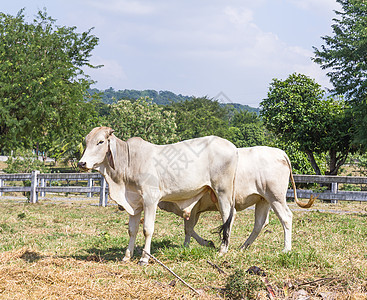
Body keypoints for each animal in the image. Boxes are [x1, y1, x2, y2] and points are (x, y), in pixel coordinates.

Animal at [78, 126, 239, 264]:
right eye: (86, 141)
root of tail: (233, 147)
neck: (129, 162)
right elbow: (132, 230)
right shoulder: (134, 204)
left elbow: (147, 229)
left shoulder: (150, 200)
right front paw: (127, 256)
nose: (81, 163)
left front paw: (144, 258)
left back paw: (222, 250)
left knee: (227, 217)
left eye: (100, 141)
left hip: (222, 192)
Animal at [159, 146, 316, 252]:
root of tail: (280, 152)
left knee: (286, 217)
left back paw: (286, 249)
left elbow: (189, 228)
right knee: (260, 223)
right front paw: (187, 246)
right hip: (263, 199)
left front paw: (205, 243)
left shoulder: (194, 207)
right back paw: (243, 246)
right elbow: (188, 229)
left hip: (276, 197)